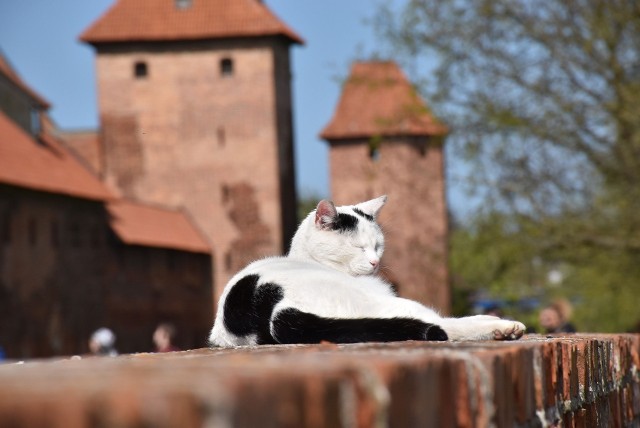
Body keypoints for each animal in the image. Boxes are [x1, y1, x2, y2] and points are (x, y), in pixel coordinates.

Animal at [210, 196, 524, 346]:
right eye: (359, 247)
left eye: (378, 246)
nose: (375, 263)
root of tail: (268, 306)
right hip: (386, 305)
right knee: (443, 325)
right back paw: (503, 327)